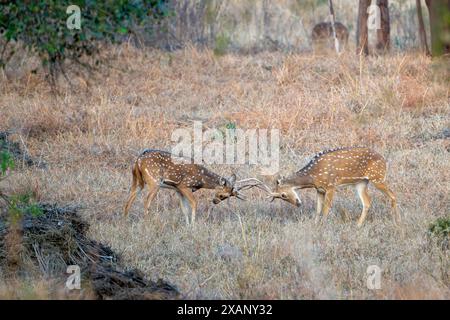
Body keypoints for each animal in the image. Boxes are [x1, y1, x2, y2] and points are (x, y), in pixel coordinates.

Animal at [124, 149, 270, 224]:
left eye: (225, 197)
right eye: (222, 194)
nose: (214, 201)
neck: (201, 179)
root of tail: (138, 161)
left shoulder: (178, 190)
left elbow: (184, 209)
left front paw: (188, 225)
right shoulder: (184, 185)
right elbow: (194, 203)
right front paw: (193, 225)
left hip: (138, 180)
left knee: (129, 198)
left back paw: (125, 220)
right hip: (154, 181)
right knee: (146, 201)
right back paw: (147, 221)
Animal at [266, 146, 400, 226]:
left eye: (283, 195)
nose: (298, 204)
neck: (313, 176)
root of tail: (384, 160)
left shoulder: (331, 185)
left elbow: (326, 208)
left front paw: (323, 226)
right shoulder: (319, 189)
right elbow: (318, 209)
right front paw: (315, 225)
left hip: (377, 178)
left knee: (393, 195)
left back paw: (396, 221)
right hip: (361, 182)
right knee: (367, 202)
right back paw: (358, 225)